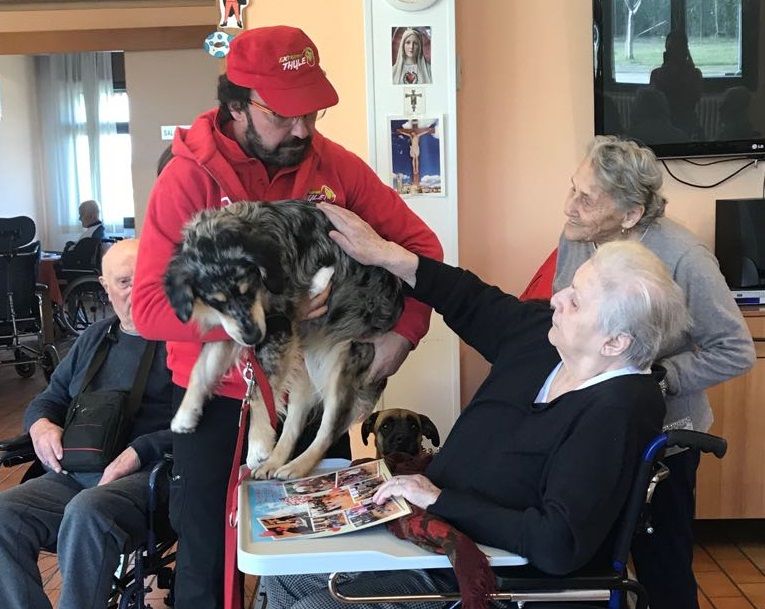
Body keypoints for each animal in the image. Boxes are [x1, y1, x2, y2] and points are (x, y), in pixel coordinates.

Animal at [164, 199, 404, 479]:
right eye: (216, 301)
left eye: (249, 289)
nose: (254, 337)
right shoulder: (234, 328)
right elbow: (202, 368)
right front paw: (185, 414)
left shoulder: (277, 324)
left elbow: (259, 393)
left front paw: (257, 446)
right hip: (303, 371)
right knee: (293, 424)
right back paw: (275, 463)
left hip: (341, 366)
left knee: (328, 430)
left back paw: (296, 466)